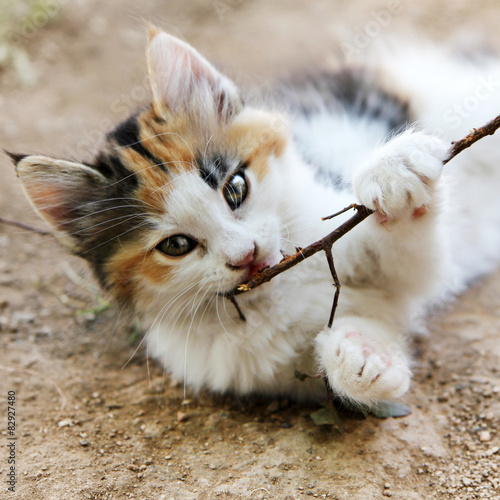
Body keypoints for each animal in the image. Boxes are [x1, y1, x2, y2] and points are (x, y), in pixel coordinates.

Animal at [10, 27, 500, 406]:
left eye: (235, 189)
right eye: (176, 245)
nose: (245, 254)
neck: (277, 292)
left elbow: (411, 256)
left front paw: (393, 173)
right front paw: (364, 360)